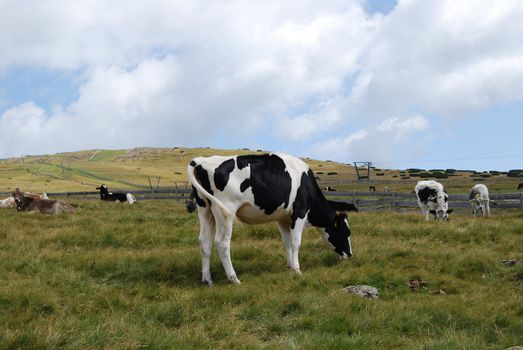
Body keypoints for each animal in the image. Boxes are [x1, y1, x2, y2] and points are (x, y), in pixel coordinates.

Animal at [186, 154, 358, 286]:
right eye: (345, 232)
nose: (350, 255)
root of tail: (201, 161)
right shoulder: (300, 212)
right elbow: (296, 243)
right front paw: (297, 270)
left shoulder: (283, 218)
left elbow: (287, 243)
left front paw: (289, 266)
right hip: (224, 211)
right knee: (222, 243)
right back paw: (234, 279)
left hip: (205, 209)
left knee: (204, 242)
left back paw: (207, 280)